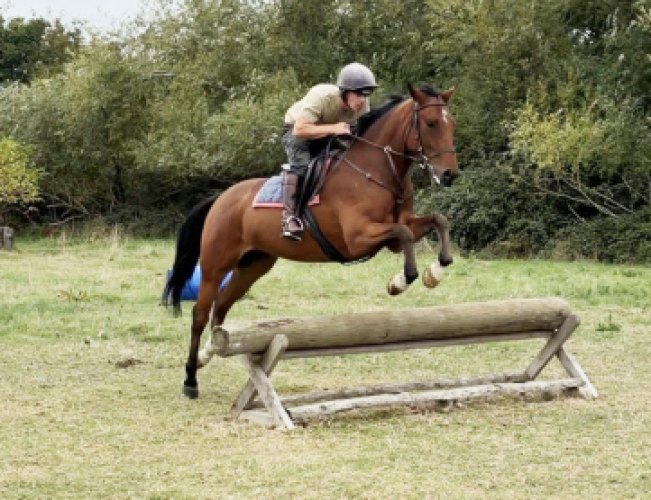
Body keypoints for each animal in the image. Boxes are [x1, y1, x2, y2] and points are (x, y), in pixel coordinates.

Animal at [164, 84, 459, 398]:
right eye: (431, 123)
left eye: (450, 123)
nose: (449, 175)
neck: (378, 169)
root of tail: (221, 197)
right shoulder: (358, 237)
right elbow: (404, 235)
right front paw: (401, 281)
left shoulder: (394, 231)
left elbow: (438, 221)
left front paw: (434, 273)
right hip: (215, 264)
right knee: (200, 313)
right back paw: (190, 379)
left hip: (254, 265)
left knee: (220, 306)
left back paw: (208, 353)